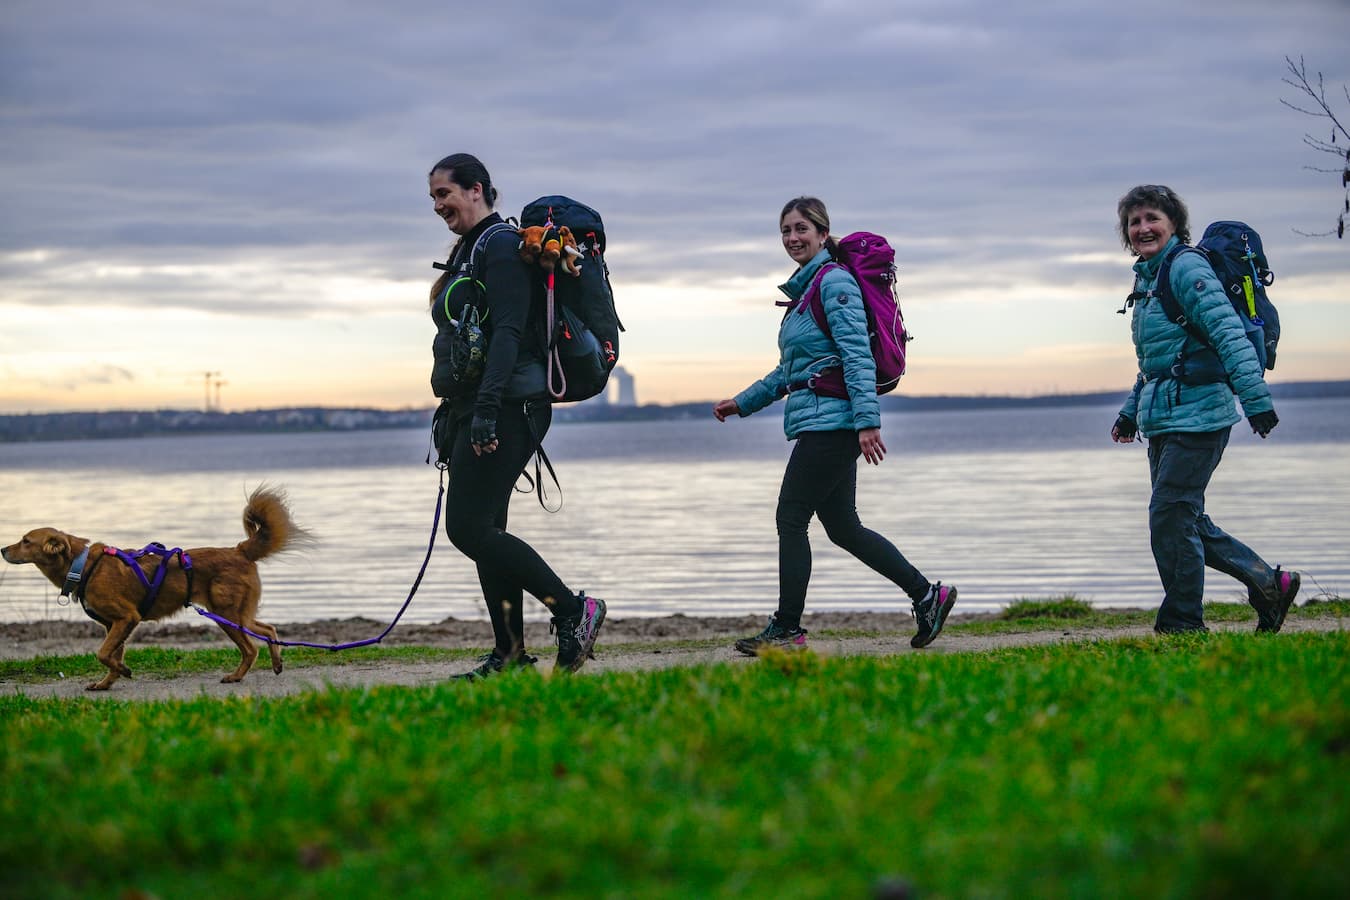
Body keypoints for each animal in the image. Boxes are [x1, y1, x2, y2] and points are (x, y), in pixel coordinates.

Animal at [3, 485, 309, 690]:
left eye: (26, 541)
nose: (3, 549)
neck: (82, 564)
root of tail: (240, 550)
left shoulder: (126, 618)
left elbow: (102, 653)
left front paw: (123, 671)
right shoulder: (114, 624)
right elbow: (111, 654)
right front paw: (107, 682)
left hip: (227, 615)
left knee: (250, 649)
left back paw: (236, 676)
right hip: (236, 613)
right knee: (268, 629)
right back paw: (276, 662)